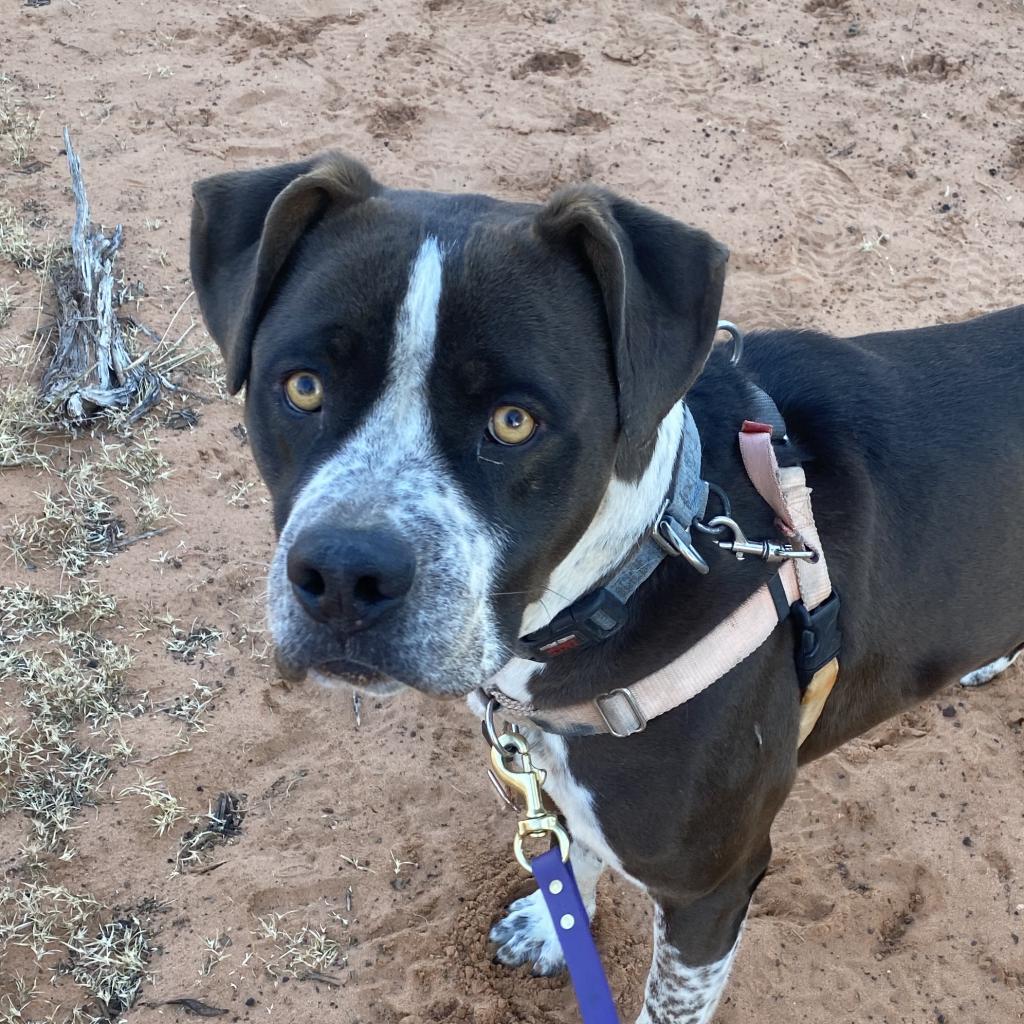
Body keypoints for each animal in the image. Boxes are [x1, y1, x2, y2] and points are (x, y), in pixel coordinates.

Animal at [190, 151, 1024, 1024]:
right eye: (303, 386)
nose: (344, 576)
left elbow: (667, 999)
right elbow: (573, 850)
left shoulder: (710, 889)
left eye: (514, 421)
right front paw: (552, 928)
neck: (637, 569)